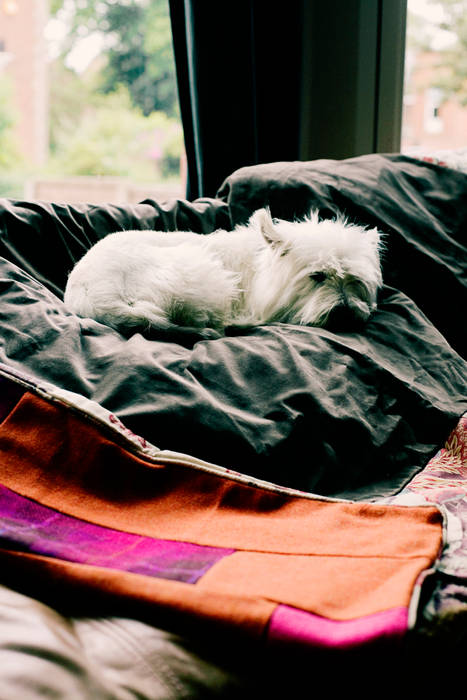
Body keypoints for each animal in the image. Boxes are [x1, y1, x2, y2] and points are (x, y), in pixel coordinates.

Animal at [64, 208, 382, 336]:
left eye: (354, 280)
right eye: (317, 277)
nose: (345, 312)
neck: (259, 269)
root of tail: (98, 298)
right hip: (198, 275)